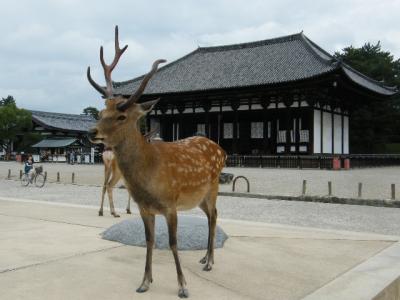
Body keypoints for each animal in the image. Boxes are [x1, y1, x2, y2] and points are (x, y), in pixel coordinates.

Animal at [87, 26, 225, 298]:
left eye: (121, 116)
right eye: (102, 112)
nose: (92, 132)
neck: (149, 174)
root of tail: (220, 149)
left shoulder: (170, 204)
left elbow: (172, 242)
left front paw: (183, 286)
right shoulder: (145, 207)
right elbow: (149, 240)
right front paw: (144, 282)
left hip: (213, 185)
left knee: (214, 215)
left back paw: (210, 262)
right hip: (199, 195)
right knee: (209, 215)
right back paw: (205, 258)